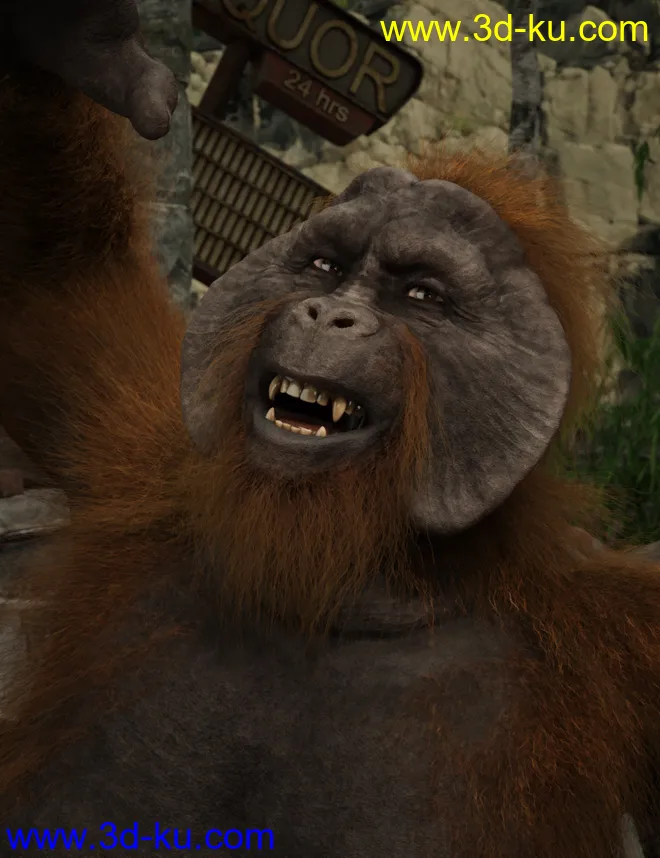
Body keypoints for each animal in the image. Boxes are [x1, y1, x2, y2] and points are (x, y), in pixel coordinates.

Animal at [3, 6, 660, 858]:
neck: (336, 584)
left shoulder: (616, 633)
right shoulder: (139, 448)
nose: (327, 314)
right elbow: (46, 286)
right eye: (324, 268)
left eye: (420, 294)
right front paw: (83, 45)